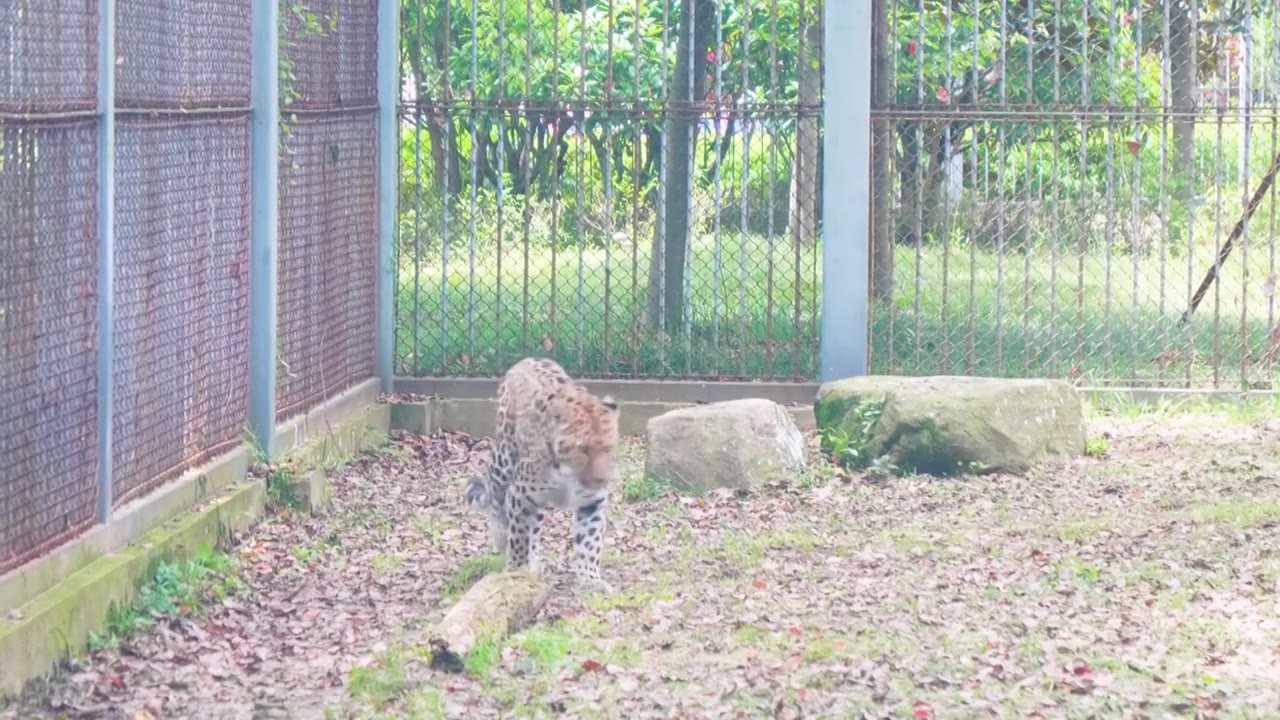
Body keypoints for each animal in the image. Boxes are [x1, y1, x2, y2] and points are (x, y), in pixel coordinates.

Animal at [463, 356, 622, 591]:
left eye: (608, 448)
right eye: (584, 449)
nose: (602, 480)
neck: (568, 475)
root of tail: (528, 358)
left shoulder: (592, 501)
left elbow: (589, 542)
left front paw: (591, 580)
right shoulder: (520, 494)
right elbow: (519, 536)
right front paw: (515, 570)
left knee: (535, 528)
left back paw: (535, 561)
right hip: (504, 459)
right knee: (495, 497)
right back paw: (502, 537)